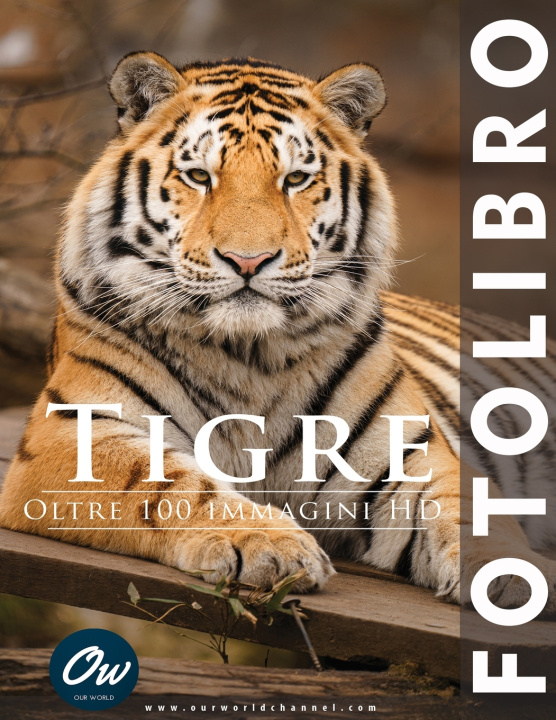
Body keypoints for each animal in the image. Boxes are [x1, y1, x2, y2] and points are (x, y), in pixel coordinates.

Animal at [1, 51, 555, 609]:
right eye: (199, 176)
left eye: (295, 179)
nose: (249, 260)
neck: (249, 355)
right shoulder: (71, 437)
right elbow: (169, 487)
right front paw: (268, 544)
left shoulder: (412, 456)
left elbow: (468, 510)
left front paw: (516, 572)